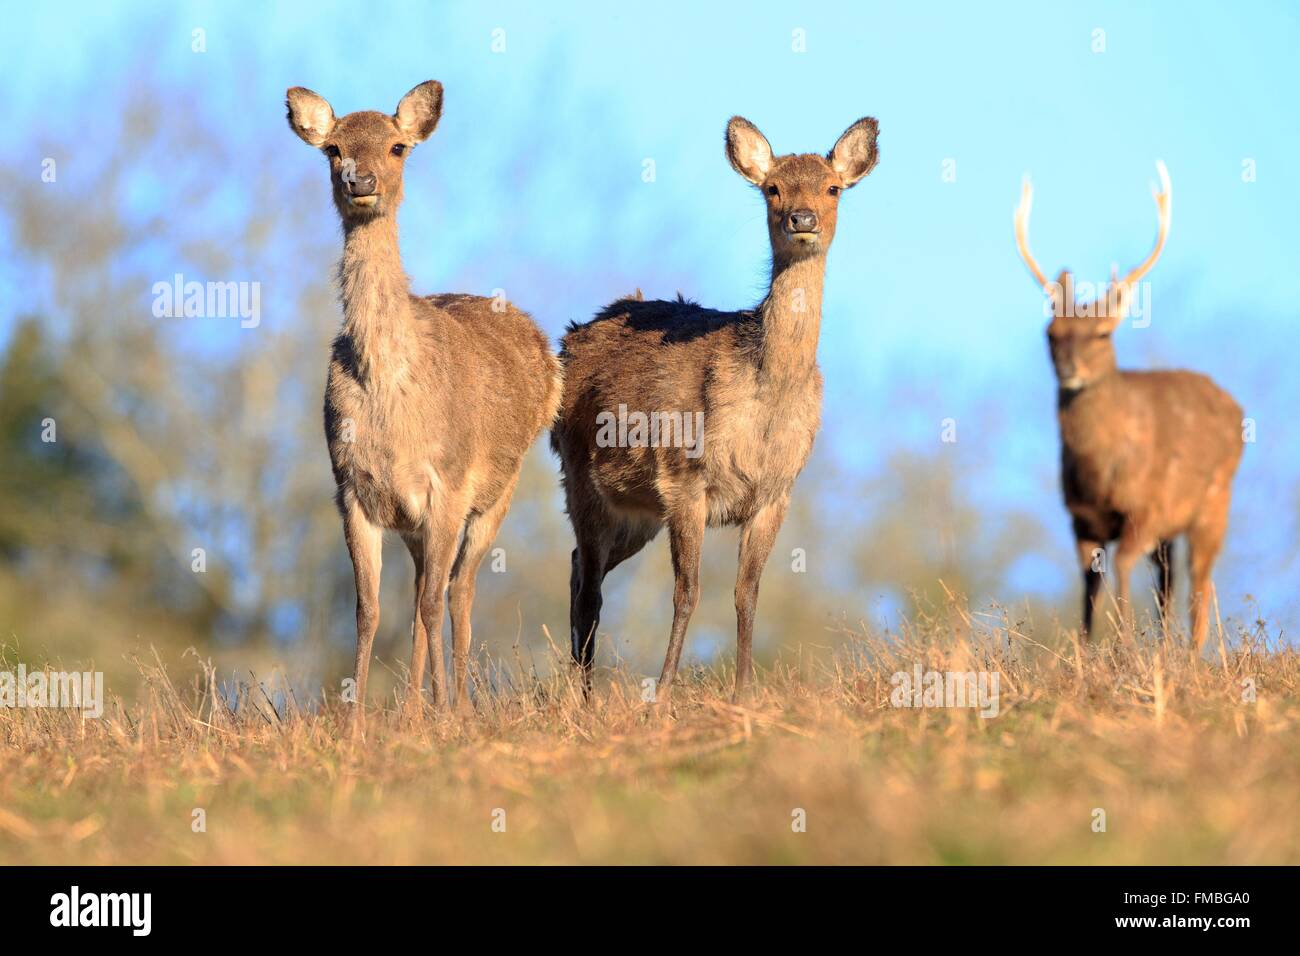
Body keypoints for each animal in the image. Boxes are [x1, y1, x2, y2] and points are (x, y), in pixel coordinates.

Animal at [287, 83, 561, 723]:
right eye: (333, 148)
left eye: (397, 146)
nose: (360, 181)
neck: (389, 387)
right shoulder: (354, 490)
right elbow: (368, 611)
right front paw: (356, 722)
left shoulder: (448, 486)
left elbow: (435, 603)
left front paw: (437, 714)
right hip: (414, 521)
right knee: (420, 592)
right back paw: (418, 704)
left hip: (499, 491)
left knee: (457, 590)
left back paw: (453, 701)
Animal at [553, 117, 878, 702]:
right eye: (772, 188)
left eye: (832, 188)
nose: (802, 219)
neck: (767, 401)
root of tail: (566, 342)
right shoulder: (685, 480)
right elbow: (688, 591)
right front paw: (662, 694)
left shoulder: (775, 493)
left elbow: (747, 592)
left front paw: (744, 692)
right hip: (581, 478)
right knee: (589, 586)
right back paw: (584, 696)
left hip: (637, 514)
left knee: (577, 569)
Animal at [1008, 162, 1242, 650]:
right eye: (1051, 333)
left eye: (1101, 333)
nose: (1069, 368)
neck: (1101, 475)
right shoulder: (1081, 520)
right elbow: (1088, 584)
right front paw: (1085, 649)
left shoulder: (1143, 510)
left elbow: (1120, 568)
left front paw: (1125, 647)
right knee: (1169, 582)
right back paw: (1168, 646)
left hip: (1214, 502)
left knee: (1199, 582)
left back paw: (1192, 653)